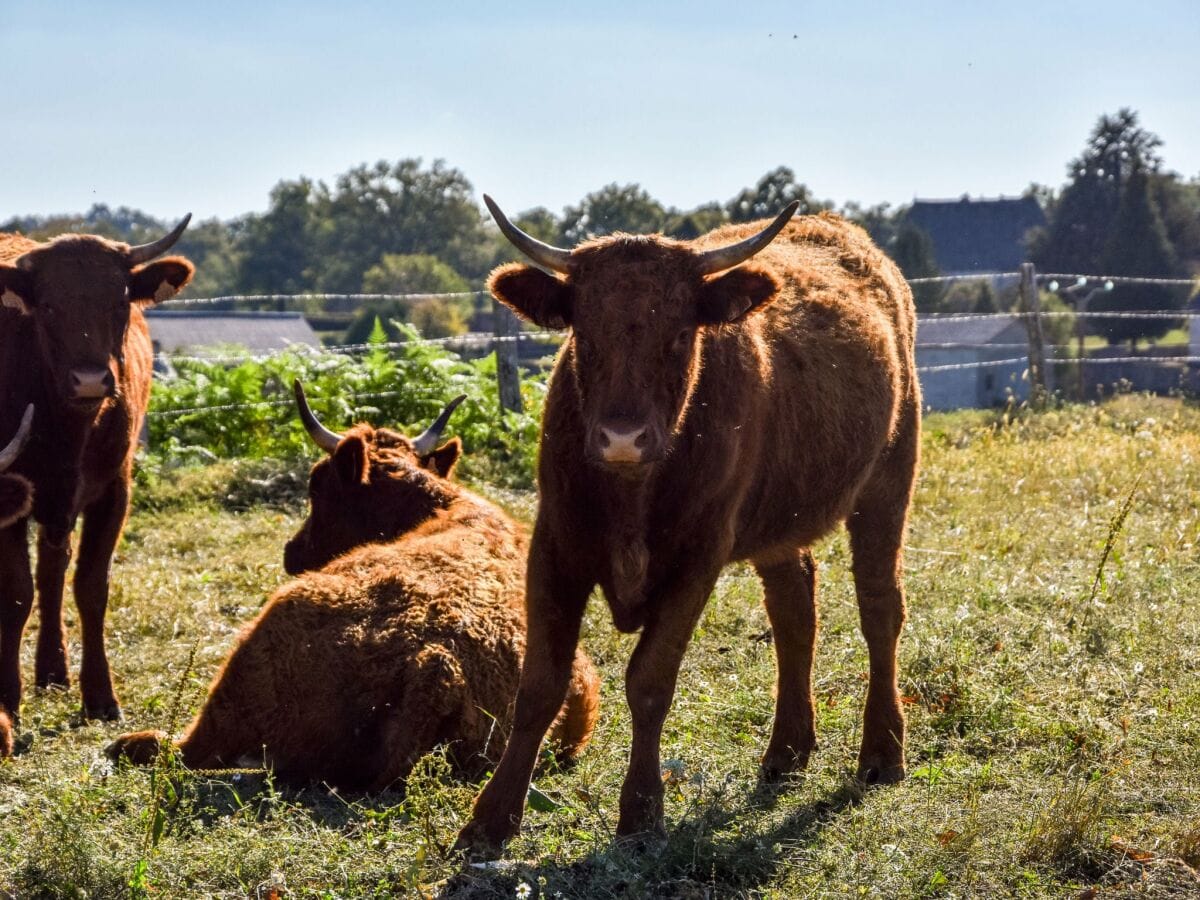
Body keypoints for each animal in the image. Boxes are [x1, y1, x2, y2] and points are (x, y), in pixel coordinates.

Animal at [0, 220, 194, 753]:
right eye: (48, 305)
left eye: (119, 300)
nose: (89, 381)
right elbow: (17, 594)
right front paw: (7, 700)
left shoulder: (114, 491)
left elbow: (91, 586)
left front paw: (101, 696)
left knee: (53, 571)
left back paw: (54, 671)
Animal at [456, 195, 916, 854]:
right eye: (583, 334)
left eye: (678, 335)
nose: (622, 437)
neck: (631, 493)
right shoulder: (555, 547)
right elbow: (540, 683)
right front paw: (490, 820)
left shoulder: (698, 559)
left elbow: (650, 680)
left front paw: (642, 813)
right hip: (782, 525)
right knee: (794, 611)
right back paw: (787, 751)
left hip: (889, 481)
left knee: (879, 607)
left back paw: (881, 752)